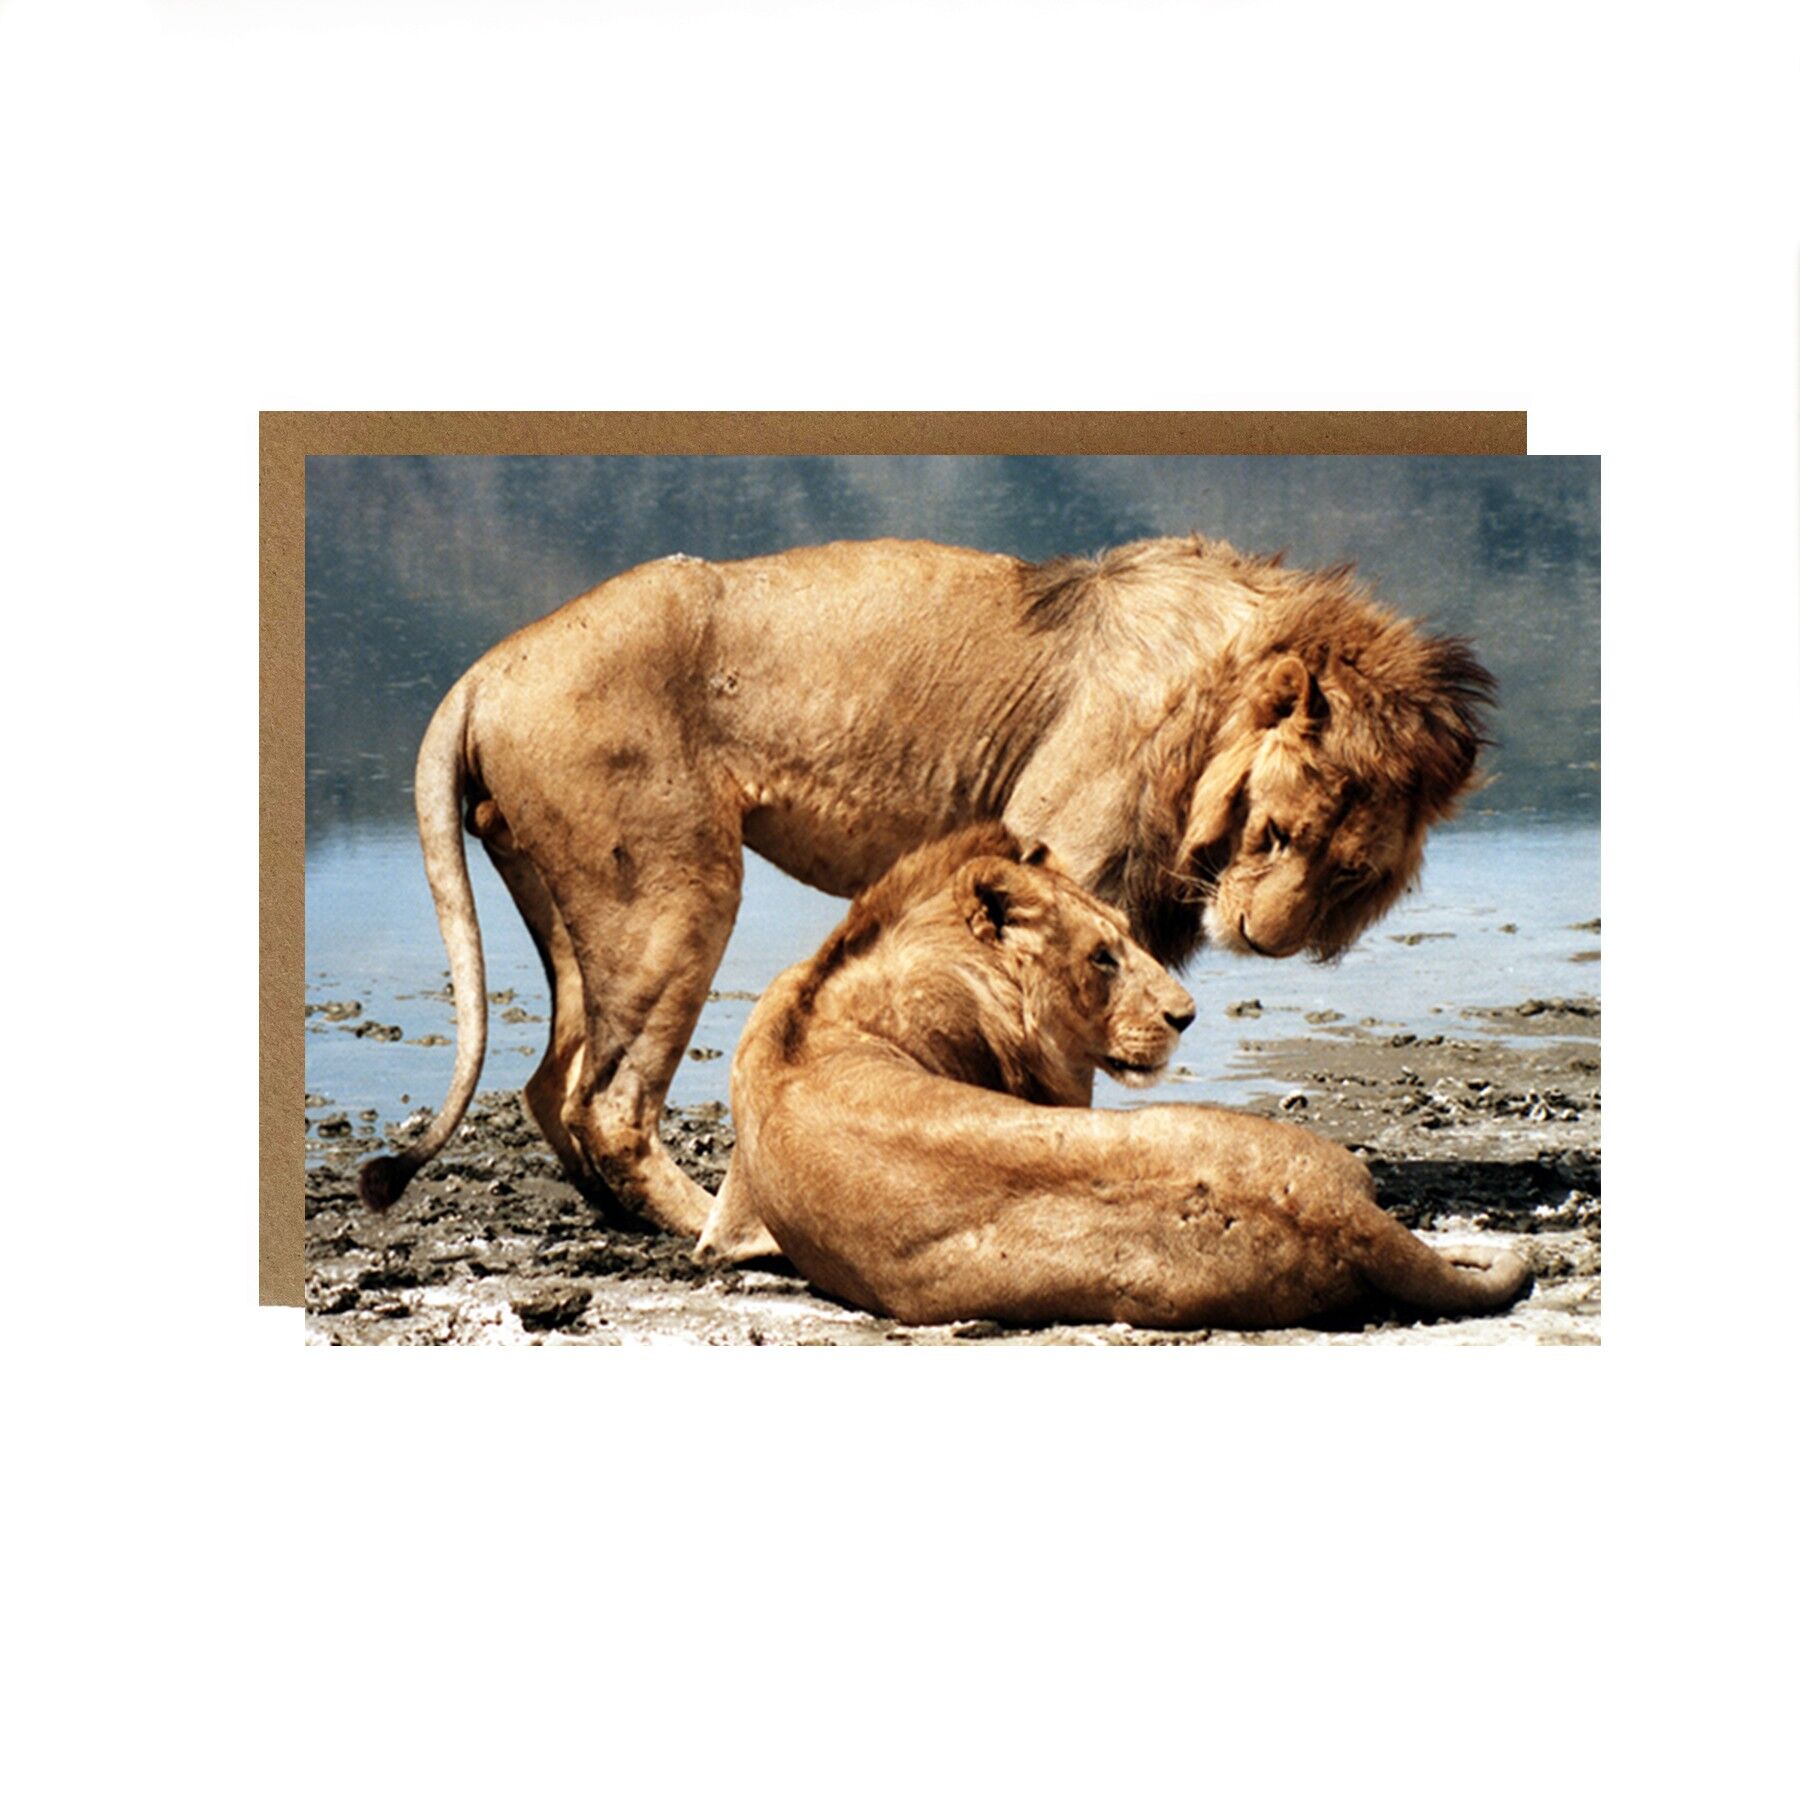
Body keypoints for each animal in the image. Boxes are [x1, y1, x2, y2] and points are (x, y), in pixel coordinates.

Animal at [358, 534, 1493, 1236]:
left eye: (1347, 868)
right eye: (1279, 830)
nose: (1263, 935)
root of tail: (490, 666)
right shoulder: (1058, 853)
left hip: (575, 908)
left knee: (552, 1084)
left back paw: (617, 1215)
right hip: (675, 888)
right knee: (609, 1102)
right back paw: (697, 1220)